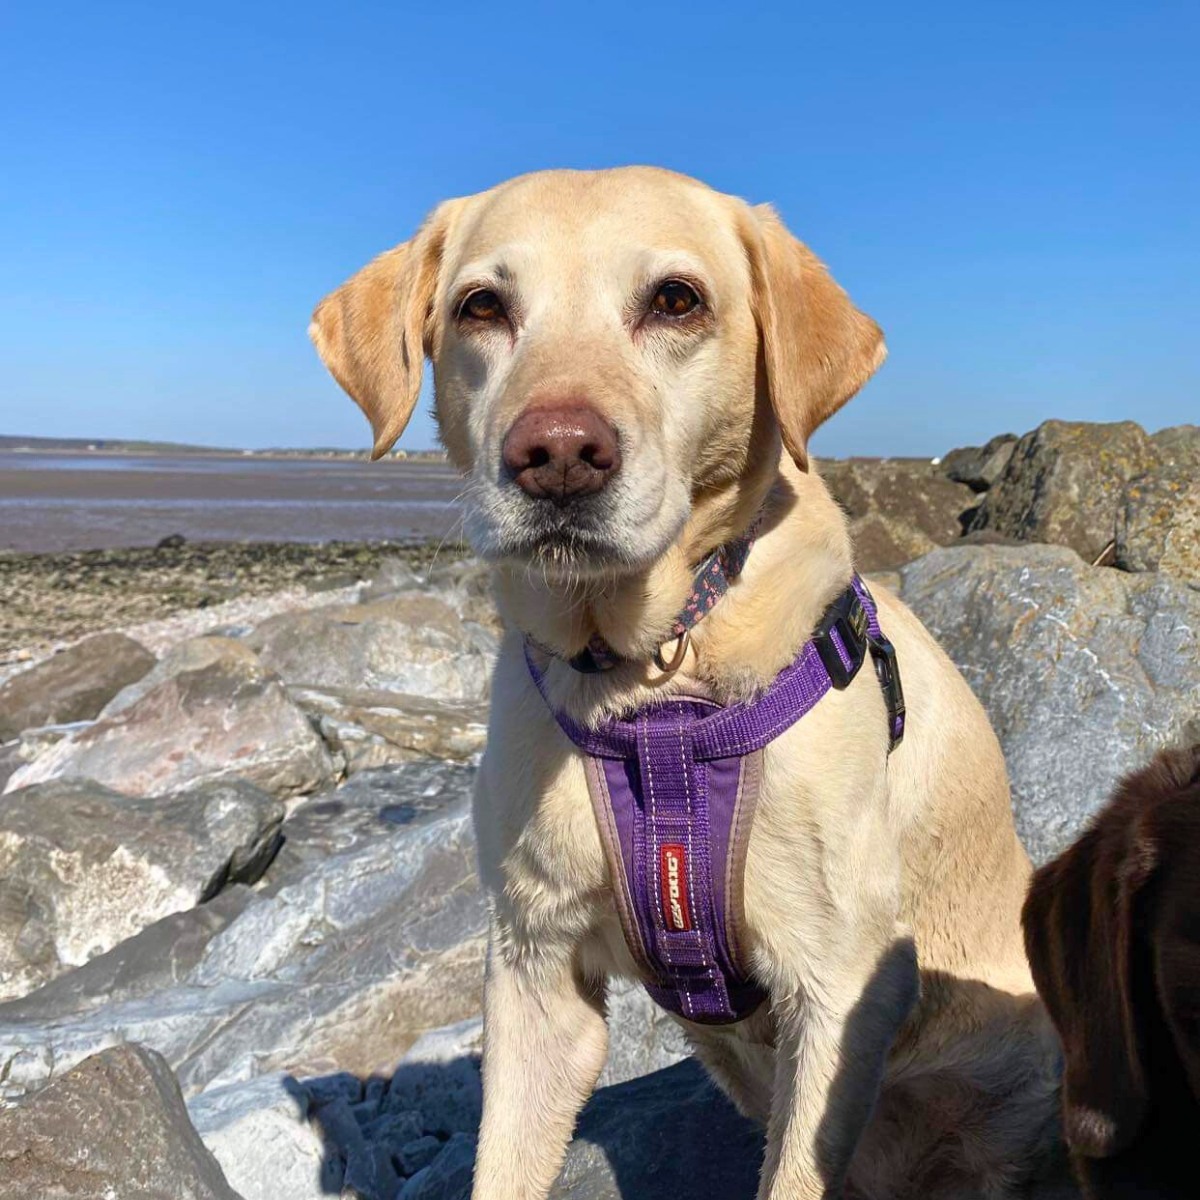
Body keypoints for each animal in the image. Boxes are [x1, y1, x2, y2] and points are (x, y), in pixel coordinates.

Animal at [309, 169, 1060, 1200]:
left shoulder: (840, 986)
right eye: (481, 307)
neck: (649, 684)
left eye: (676, 300)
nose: (557, 454)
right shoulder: (535, 968)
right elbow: (503, 1161)